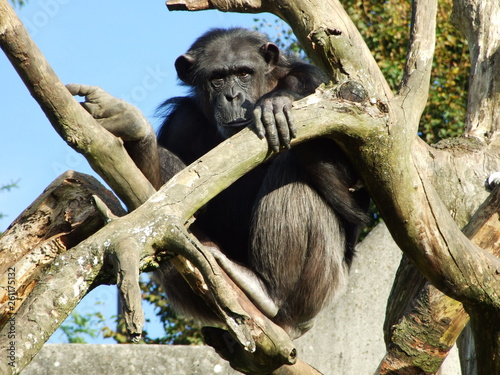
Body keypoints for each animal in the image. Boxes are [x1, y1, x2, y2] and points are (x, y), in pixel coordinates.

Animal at [67, 27, 368, 342]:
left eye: (244, 73)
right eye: (218, 78)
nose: (233, 95)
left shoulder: (319, 84)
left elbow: (356, 197)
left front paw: (280, 100)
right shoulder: (181, 122)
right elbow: (162, 206)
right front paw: (130, 125)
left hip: (319, 291)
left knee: (294, 173)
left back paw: (268, 292)